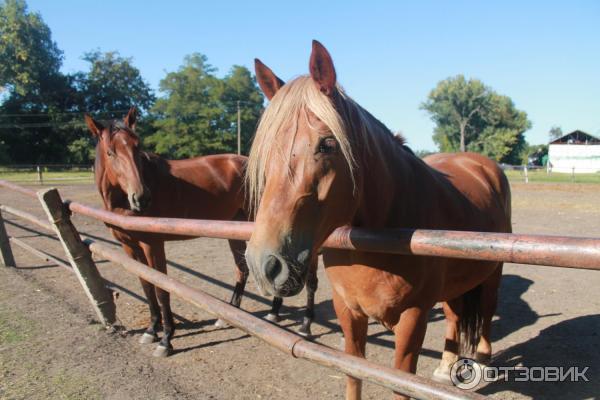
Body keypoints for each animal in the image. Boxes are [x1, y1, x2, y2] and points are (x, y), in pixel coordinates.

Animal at [84, 107, 318, 356]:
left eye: (137, 148)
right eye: (110, 152)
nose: (142, 198)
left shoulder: (153, 244)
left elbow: (161, 287)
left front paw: (166, 339)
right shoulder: (128, 245)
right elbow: (146, 284)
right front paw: (151, 329)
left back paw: (296, 321)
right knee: (242, 269)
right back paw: (235, 314)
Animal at [244, 41, 510, 400]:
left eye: (327, 144)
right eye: (264, 149)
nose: (265, 265)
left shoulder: (413, 318)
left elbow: (401, 383)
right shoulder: (348, 311)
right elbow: (353, 375)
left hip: (493, 272)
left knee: (486, 312)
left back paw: (482, 362)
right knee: (455, 314)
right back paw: (445, 367)